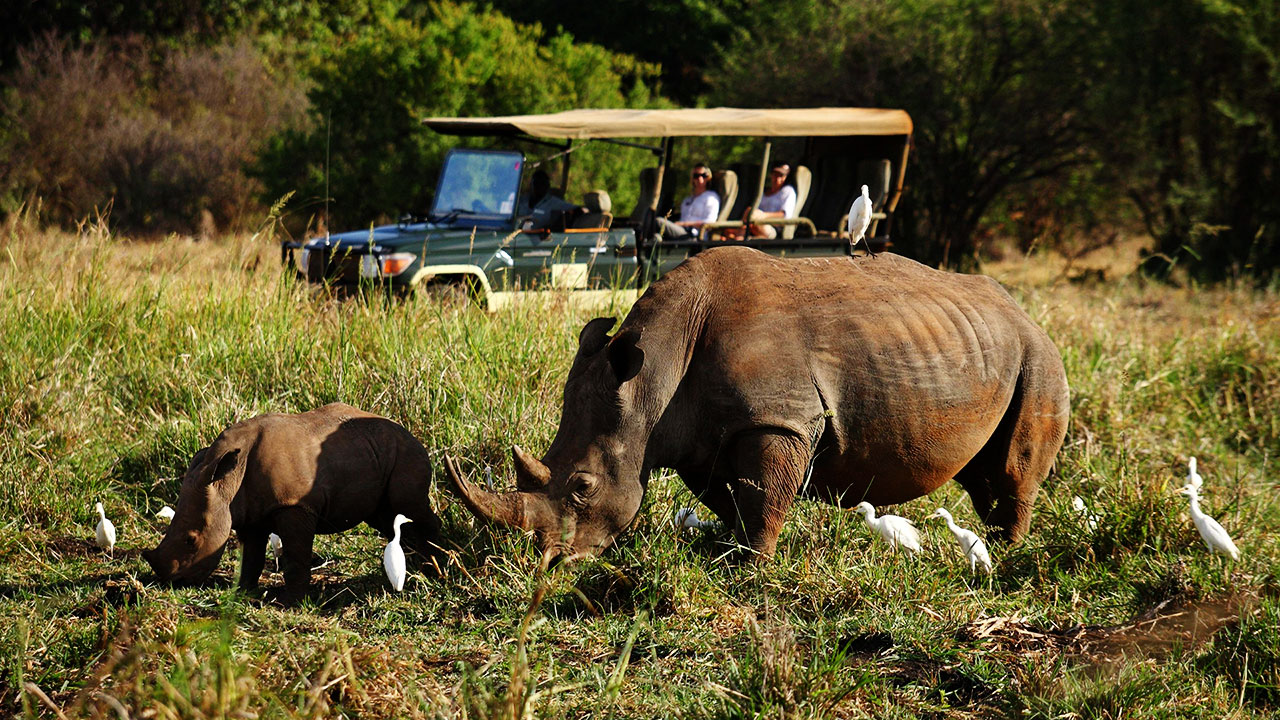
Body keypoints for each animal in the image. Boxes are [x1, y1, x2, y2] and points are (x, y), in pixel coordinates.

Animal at [144, 403, 441, 603]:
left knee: (409, 505)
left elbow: (296, 556)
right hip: (374, 452)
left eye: (191, 540)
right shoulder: (249, 510)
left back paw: (437, 568)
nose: (170, 581)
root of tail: (410, 433)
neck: (226, 481)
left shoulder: (293, 505)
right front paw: (243, 591)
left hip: (407, 453)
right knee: (387, 518)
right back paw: (419, 568)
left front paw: (292, 603)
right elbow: (251, 555)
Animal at [446, 247, 1070, 562]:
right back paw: (996, 542)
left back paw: (1008, 553)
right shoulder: (701, 436)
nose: (548, 562)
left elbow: (765, 497)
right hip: (983, 346)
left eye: (582, 486)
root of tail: (1022, 309)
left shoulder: (777, 419)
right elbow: (732, 499)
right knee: (982, 473)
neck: (652, 376)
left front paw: (755, 569)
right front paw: (732, 552)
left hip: (1040, 356)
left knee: (1012, 467)